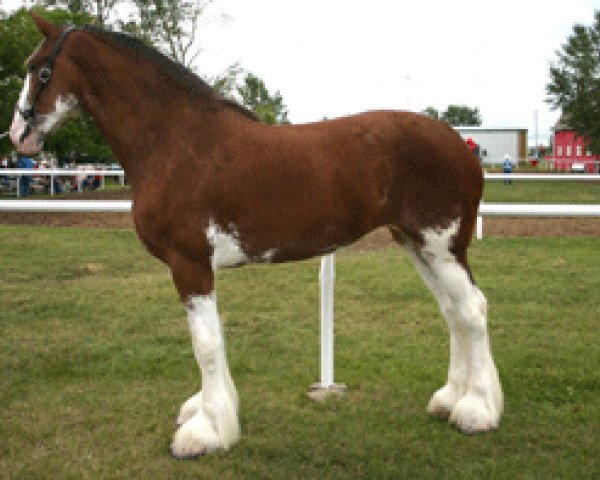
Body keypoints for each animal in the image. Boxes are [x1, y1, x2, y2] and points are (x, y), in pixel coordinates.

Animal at [11, 13, 504, 460]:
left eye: (37, 69)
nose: (17, 135)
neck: (173, 142)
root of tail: (460, 145)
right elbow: (214, 339)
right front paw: (211, 412)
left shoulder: (189, 263)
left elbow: (206, 343)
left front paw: (207, 432)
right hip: (417, 244)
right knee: (453, 312)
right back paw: (450, 400)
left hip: (441, 246)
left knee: (472, 310)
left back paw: (477, 411)